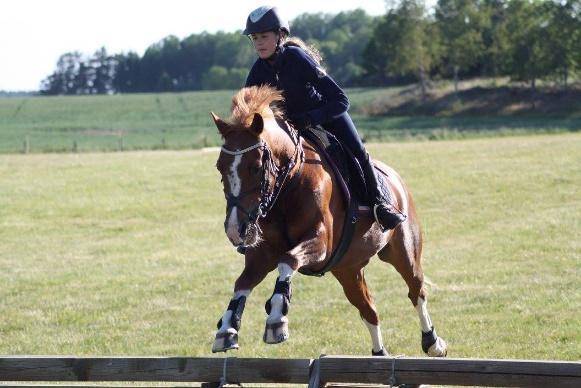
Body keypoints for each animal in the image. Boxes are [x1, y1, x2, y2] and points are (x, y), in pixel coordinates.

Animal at [211, 85, 446, 358]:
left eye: (256, 167)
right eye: (220, 167)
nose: (235, 230)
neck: (289, 184)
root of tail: (397, 179)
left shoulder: (321, 244)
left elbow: (288, 261)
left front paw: (277, 318)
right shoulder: (263, 254)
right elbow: (243, 283)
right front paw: (227, 329)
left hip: (403, 250)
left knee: (416, 289)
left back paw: (433, 343)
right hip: (347, 268)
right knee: (369, 309)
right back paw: (380, 355)